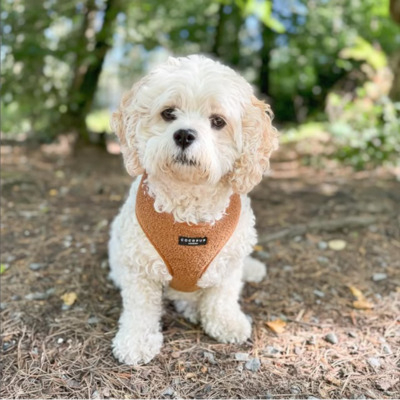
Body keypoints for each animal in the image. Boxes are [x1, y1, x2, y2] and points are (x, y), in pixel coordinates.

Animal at [108, 54, 278, 364]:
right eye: (168, 113)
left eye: (218, 121)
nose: (184, 135)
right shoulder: (139, 267)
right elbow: (140, 308)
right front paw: (136, 340)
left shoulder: (227, 263)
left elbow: (223, 296)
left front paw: (226, 322)